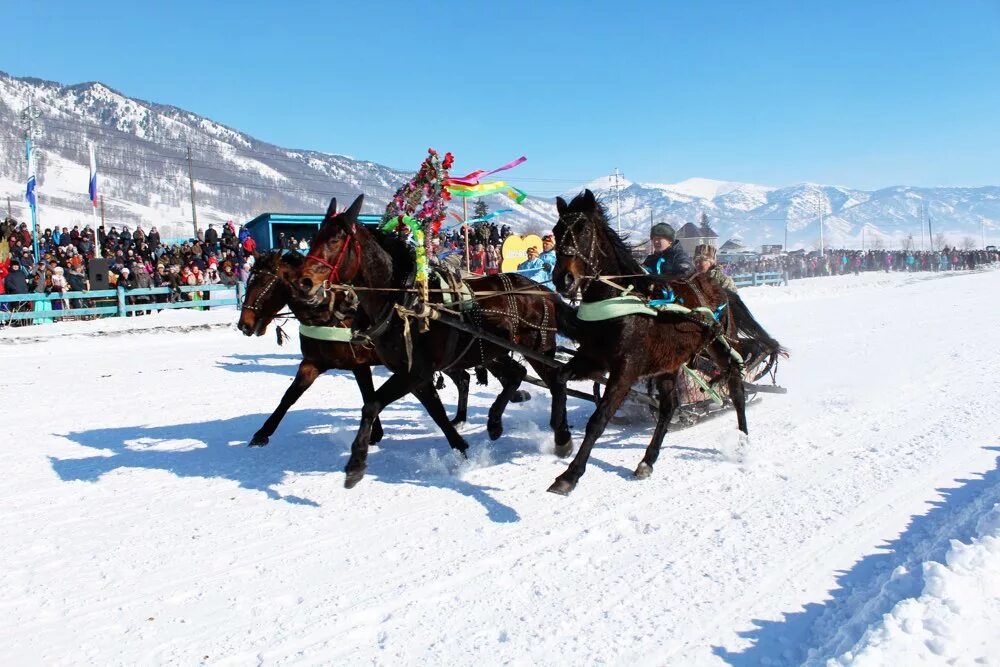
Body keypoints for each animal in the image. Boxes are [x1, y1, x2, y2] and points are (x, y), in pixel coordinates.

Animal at [240, 253, 478, 452]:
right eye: (249, 282)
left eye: (264, 284)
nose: (244, 325)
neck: (330, 315)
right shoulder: (313, 363)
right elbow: (289, 396)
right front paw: (262, 433)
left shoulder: (360, 365)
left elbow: (368, 396)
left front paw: (375, 433)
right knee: (463, 379)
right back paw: (459, 418)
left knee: (462, 379)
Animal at [296, 196, 580, 488]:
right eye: (315, 237)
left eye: (335, 240)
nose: (303, 282)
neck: (404, 301)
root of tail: (542, 289)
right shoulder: (416, 375)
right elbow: (437, 413)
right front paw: (462, 449)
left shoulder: (413, 372)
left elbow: (371, 405)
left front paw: (356, 462)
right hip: (493, 350)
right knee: (517, 374)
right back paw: (495, 423)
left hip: (537, 348)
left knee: (556, 381)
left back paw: (561, 436)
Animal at [548, 190, 780, 494]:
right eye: (556, 231)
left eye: (584, 229)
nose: (562, 279)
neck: (621, 300)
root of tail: (718, 287)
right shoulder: (593, 358)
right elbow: (558, 379)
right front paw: (561, 437)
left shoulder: (626, 369)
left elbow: (598, 419)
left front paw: (570, 474)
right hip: (670, 363)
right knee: (669, 407)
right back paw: (648, 460)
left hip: (718, 345)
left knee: (735, 386)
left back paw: (742, 440)